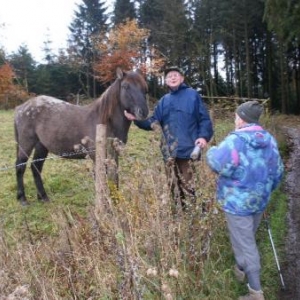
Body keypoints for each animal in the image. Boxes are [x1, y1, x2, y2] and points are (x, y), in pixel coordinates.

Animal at [14, 68, 149, 205]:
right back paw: (23, 199)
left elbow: (114, 178)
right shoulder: (97, 156)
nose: (143, 112)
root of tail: (21, 108)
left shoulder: (114, 155)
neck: (104, 121)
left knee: (36, 167)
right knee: (20, 166)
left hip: (41, 146)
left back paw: (43, 197)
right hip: (26, 144)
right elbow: (102, 180)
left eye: (145, 87)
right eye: (125, 86)